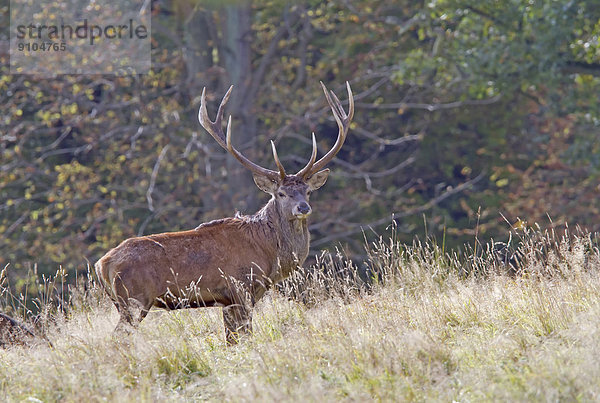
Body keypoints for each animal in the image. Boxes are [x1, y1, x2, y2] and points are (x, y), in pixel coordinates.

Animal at [96, 82, 354, 344]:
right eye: (281, 193)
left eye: (308, 192)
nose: (303, 207)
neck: (268, 253)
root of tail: (102, 264)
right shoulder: (239, 288)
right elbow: (244, 336)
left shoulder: (228, 300)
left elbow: (232, 340)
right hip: (134, 299)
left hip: (122, 302)